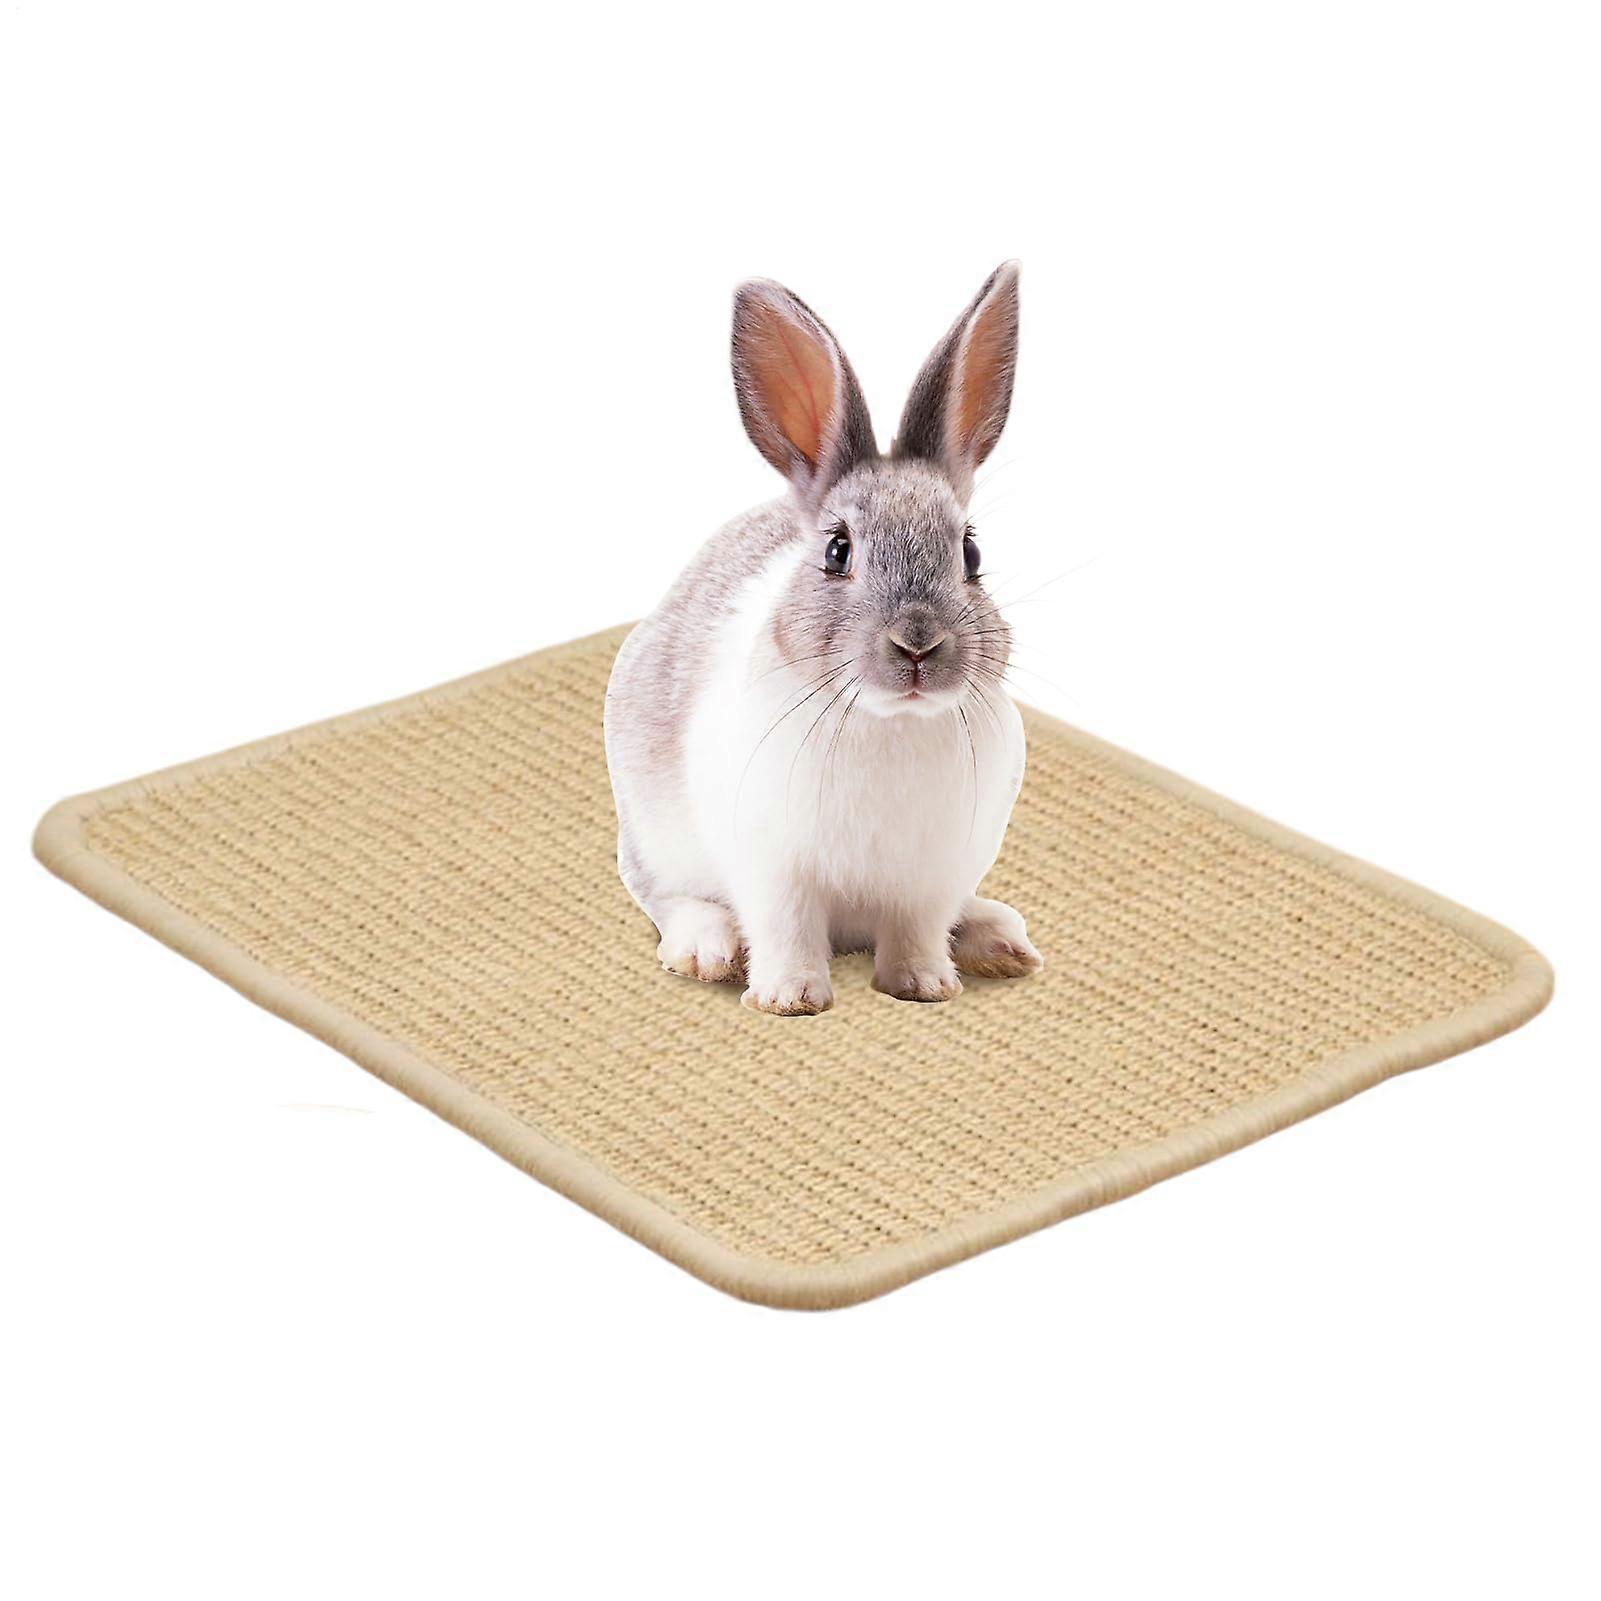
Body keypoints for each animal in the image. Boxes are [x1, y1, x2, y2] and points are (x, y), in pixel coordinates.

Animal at [604, 262, 1042, 1016]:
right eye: (838, 551)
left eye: (971, 553)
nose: (917, 645)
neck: (889, 721)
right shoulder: (773, 869)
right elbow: (785, 930)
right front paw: (790, 998)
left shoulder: (929, 877)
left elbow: (917, 932)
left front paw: (923, 986)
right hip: (655, 837)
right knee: (666, 897)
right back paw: (706, 949)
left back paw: (998, 939)